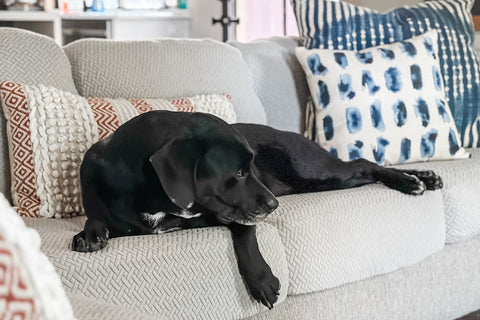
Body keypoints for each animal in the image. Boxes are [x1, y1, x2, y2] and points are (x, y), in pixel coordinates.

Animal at [71, 110, 442, 308]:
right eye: (238, 172)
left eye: (249, 167)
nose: (275, 205)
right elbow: (95, 217)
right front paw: (88, 235)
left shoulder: (224, 213)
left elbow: (244, 231)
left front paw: (262, 280)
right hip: (323, 182)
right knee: (364, 170)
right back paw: (422, 177)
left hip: (317, 173)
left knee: (364, 162)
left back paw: (413, 180)